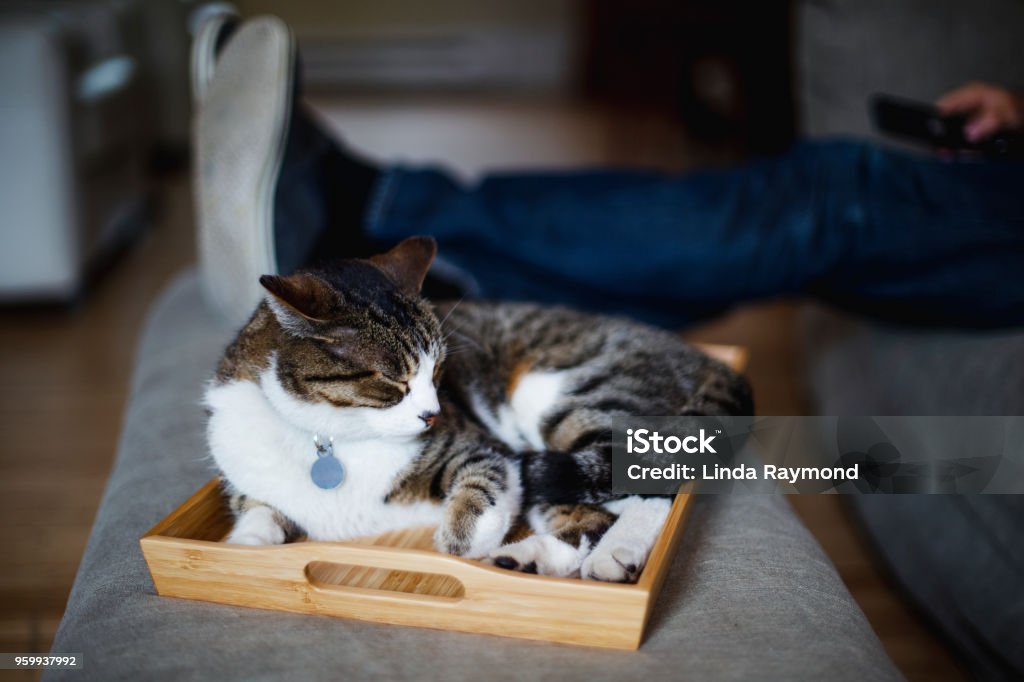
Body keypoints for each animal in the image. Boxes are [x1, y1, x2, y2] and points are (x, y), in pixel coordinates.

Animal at [205, 236, 753, 581]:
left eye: (438, 372)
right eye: (394, 379)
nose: (430, 415)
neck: (334, 437)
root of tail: (705, 358)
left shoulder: (481, 448)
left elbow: (477, 503)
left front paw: (461, 541)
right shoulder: (245, 472)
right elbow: (256, 509)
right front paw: (246, 547)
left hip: (570, 399)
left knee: (641, 485)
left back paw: (605, 555)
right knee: (586, 515)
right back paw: (530, 560)